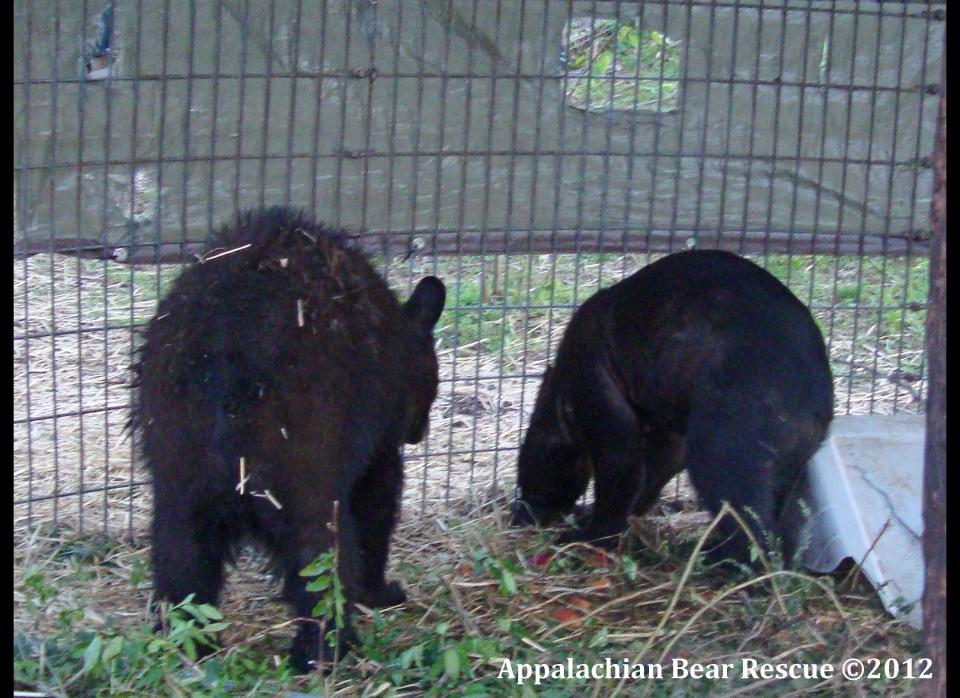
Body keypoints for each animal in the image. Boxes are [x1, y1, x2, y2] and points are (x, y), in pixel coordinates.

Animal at [130, 207, 446, 668]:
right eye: (432, 387)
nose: (420, 432)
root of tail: (224, 354)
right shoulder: (375, 438)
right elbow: (377, 502)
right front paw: (381, 591)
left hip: (177, 453)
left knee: (181, 551)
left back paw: (187, 643)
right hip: (304, 452)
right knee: (320, 552)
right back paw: (324, 649)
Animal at [510, 249, 832, 564]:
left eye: (529, 477)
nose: (521, 514)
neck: (561, 392)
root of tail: (818, 399)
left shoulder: (601, 400)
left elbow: (620, 477)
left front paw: (590, 536)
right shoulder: (668, 437)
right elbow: (646, 483)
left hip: (722, 450)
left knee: (751, 529)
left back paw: (712, 560)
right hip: (790, 470)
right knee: (788, 528)